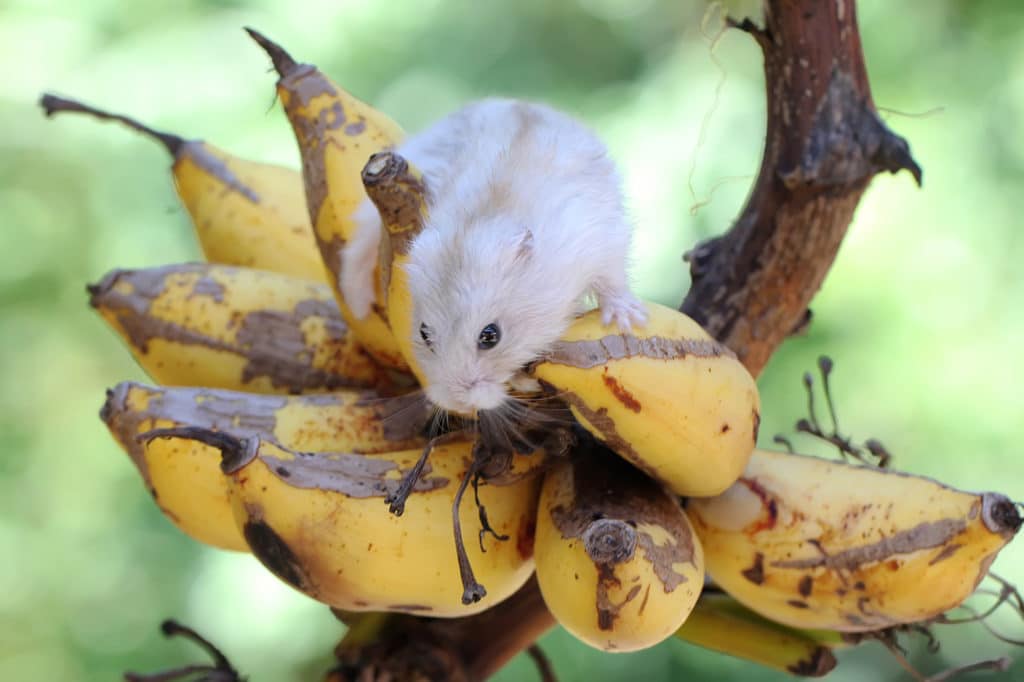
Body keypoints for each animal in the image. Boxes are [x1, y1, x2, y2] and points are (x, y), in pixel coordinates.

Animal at [344, 95, 647, 413]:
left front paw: (628, 320)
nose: (458, 403)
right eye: (424, 333)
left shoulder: (601, 238)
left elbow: (611, 280)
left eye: (491, 336)